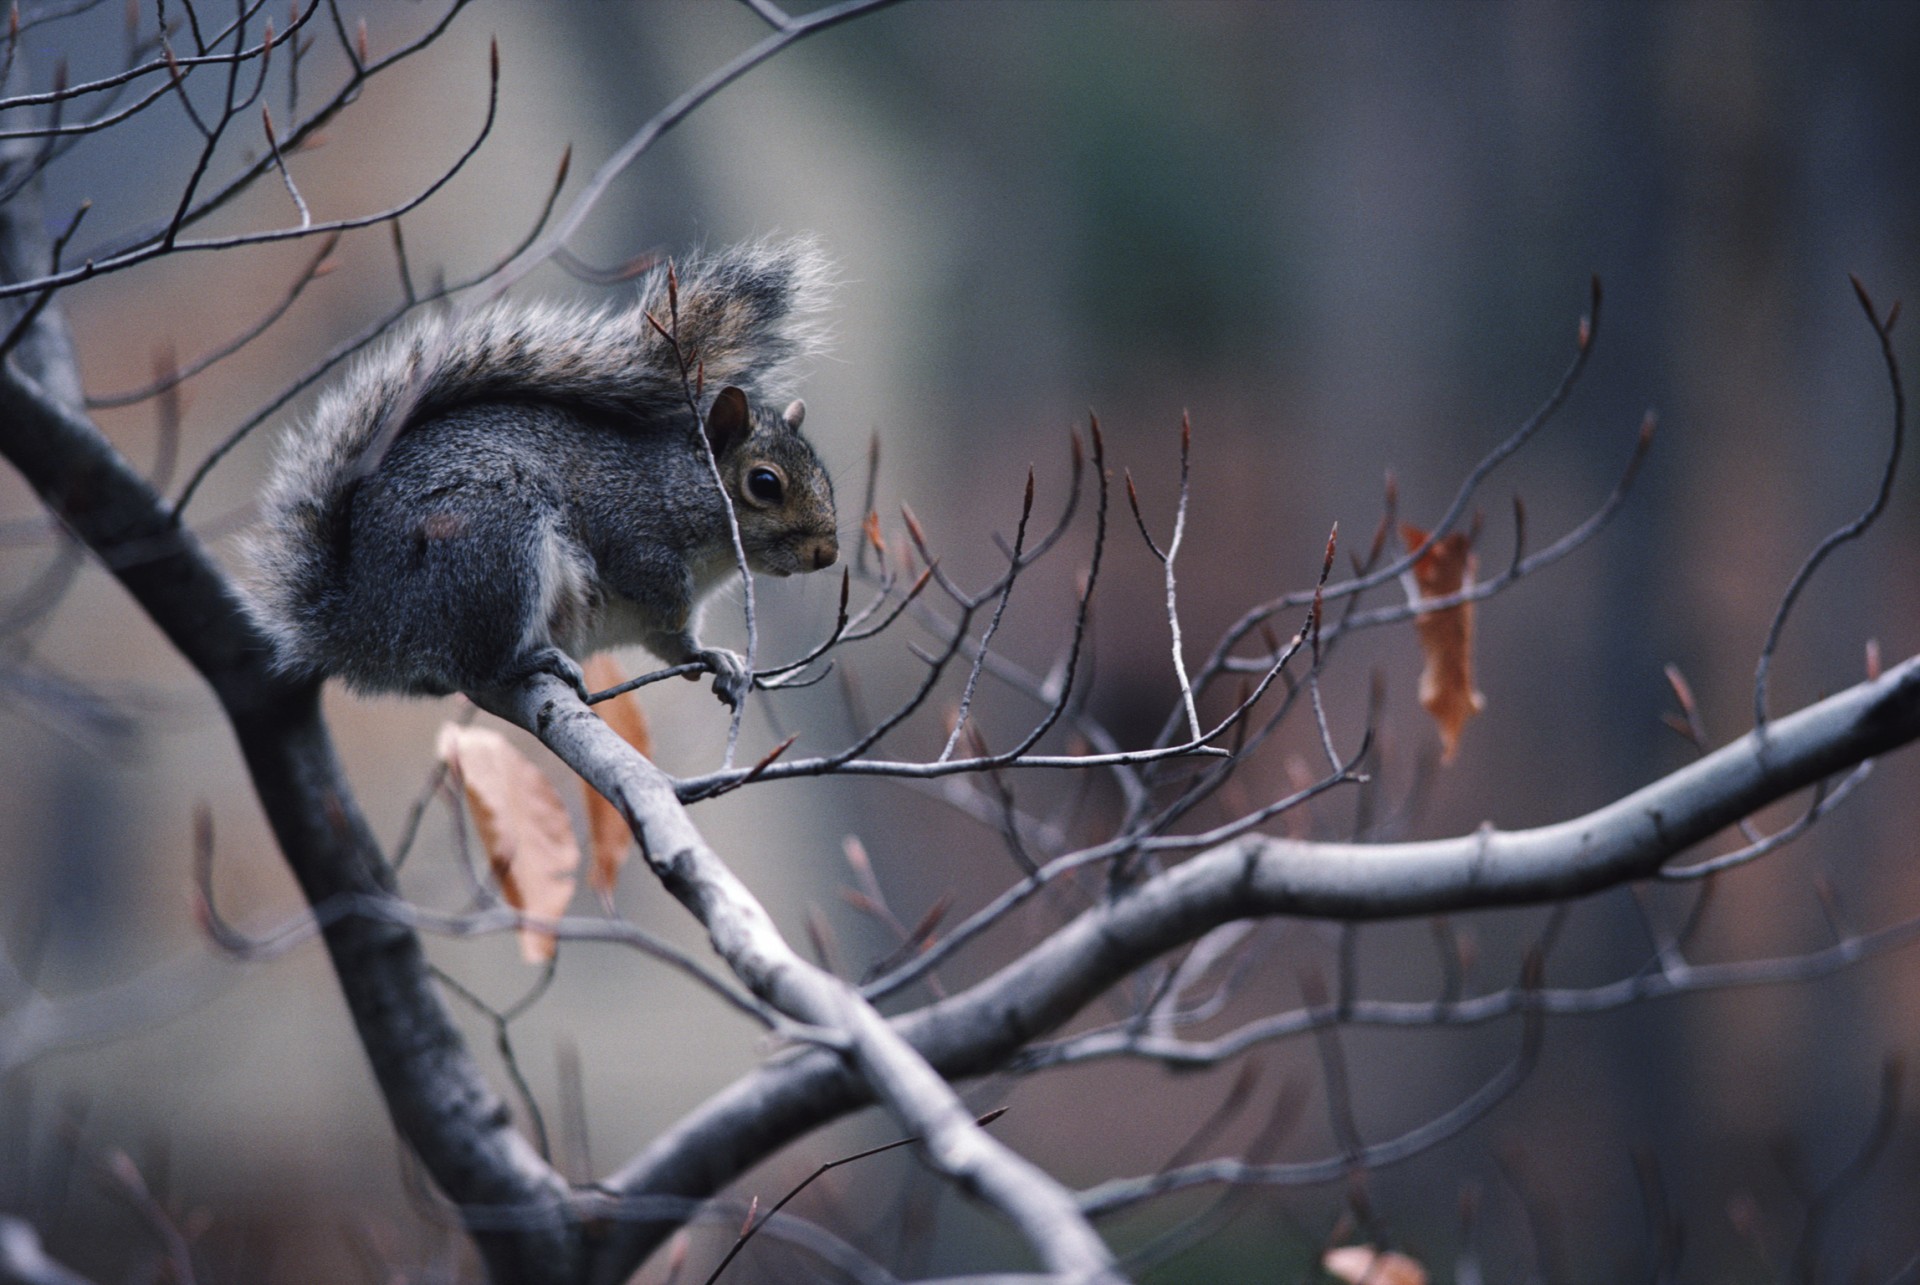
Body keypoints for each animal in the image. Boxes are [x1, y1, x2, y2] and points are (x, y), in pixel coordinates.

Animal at [241, 235, 840, 706]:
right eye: (764, 484)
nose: (827, 555)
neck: (678, 489)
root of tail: (363, 621)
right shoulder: (631, 526)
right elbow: (645, 578)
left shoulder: (661, 623)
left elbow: (675, 644)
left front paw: (718, 659)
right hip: (494, 547)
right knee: (472, 663)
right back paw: (530, 662)